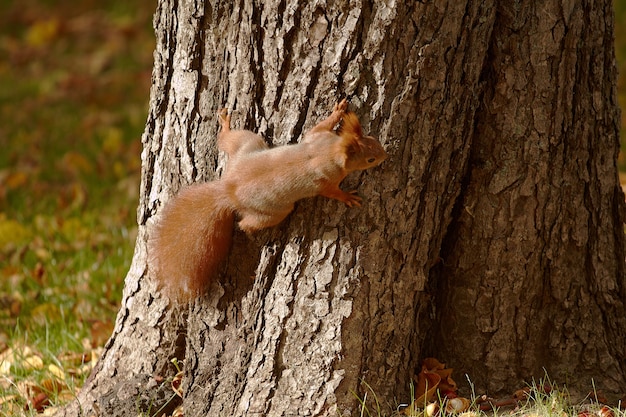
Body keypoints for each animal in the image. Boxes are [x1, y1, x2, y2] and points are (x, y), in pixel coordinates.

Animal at [150, 101, 386, 302]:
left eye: (373, 140)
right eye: (370, 159)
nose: (385, 155)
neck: (330, 151)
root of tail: (229, 190)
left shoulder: (318, 137)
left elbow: (320, 126)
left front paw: (338, 111)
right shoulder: (326, 178)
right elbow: (332, 192)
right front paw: (348, 197)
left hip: (247, 144)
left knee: (230, 140)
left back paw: (225, 125)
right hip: (273, 212)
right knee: (245, 223)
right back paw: (252, 235)